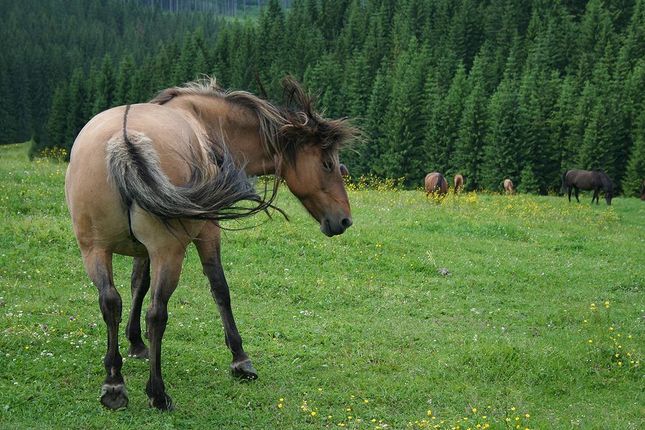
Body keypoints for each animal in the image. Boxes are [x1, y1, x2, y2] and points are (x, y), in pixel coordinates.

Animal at [64, 76, 358, 410]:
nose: (344, 220)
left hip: (95, 250)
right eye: (327, 164)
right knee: (157, 313)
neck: (204, 124)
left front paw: (135, 343)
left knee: (110, 302)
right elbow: (220, 287)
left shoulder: (144, 250)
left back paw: (114, 383)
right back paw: (157, 392)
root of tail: (124, 140)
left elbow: (138, 282)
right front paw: (240, 359)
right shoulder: (207, 232)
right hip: (169, 252)